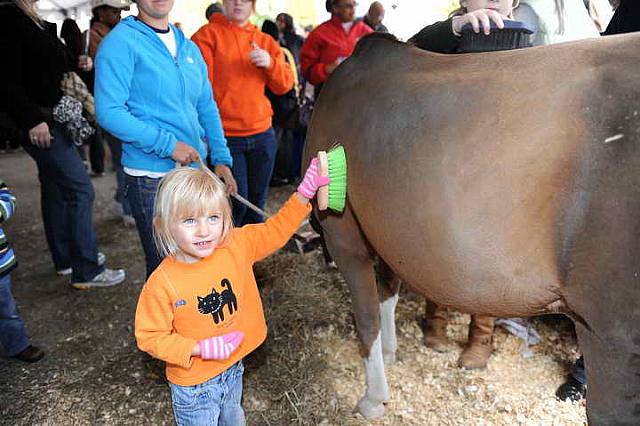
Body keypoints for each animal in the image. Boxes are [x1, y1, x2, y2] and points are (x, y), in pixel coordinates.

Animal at [302, 31, 640, 424]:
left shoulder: (343, 233)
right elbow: (388, 292)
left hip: (613, 341)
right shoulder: (385, 234)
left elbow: (366, 316)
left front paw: (373, 400)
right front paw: (390, 352)